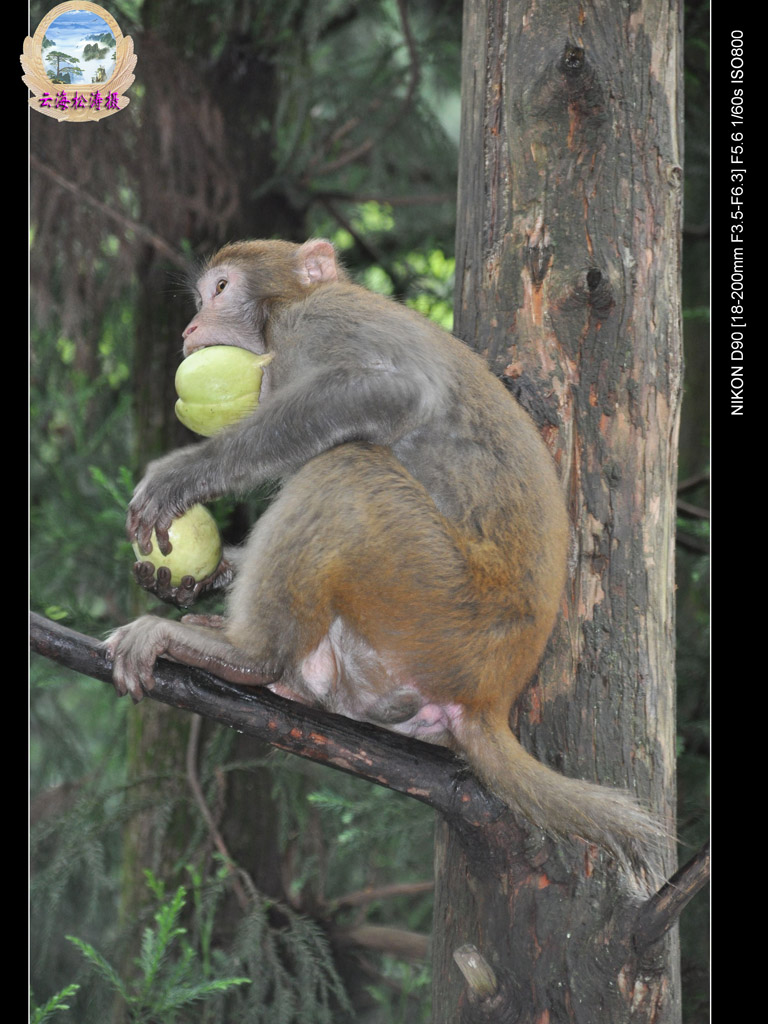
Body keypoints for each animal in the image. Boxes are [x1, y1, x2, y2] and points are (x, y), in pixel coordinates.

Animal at [105, 235, 663, 876]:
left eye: (220, 289)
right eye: (200, 299)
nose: (192, 325)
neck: (286, 312)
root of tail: (491, 697)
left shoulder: (314, 327)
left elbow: (390, 391)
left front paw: (182, 474)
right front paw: (204, 575)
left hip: (437, 605)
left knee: (347, 470)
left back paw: (249, 656)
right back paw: (295, 678)